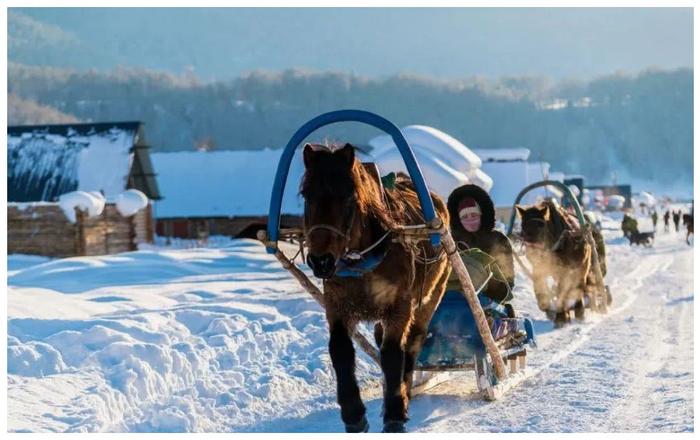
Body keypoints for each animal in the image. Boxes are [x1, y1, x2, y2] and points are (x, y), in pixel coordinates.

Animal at [300, 143, 448, 432]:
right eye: (305, 195)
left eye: (348, 197)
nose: (320, 260)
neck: (363, 262)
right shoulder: (337, 305)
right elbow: (340, 350)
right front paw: (354, 414)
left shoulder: (399, 305)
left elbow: (393, 354)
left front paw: (395, 413)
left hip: (432, 295)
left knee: (413, 341)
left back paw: (405, 390)